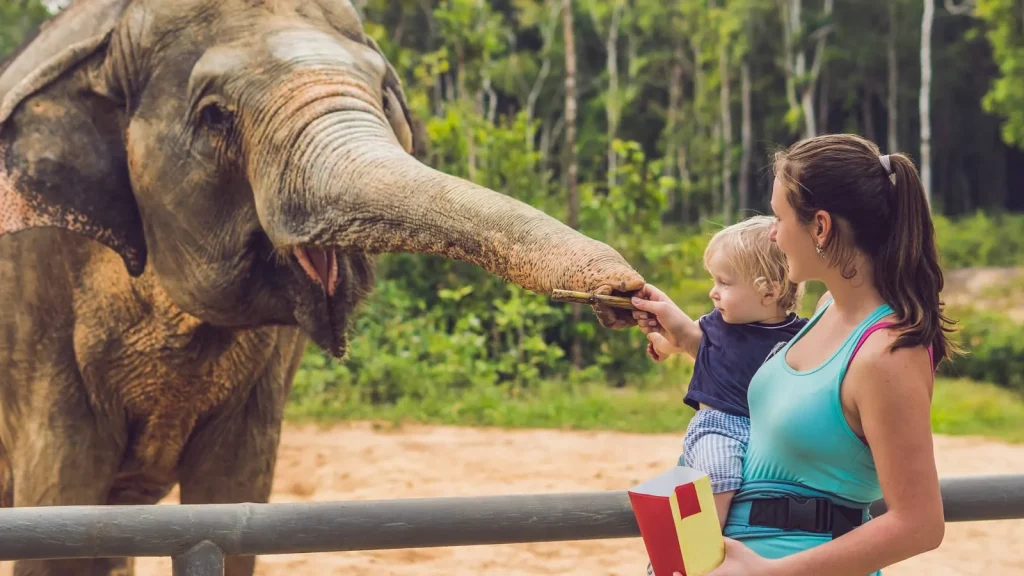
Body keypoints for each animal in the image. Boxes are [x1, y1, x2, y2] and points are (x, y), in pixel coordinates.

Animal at [0, 0, 644, 574]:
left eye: (384, 94)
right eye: (214, 116)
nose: (628, 294)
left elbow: (235, 501)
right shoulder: (36, 307)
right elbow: (62, 506)